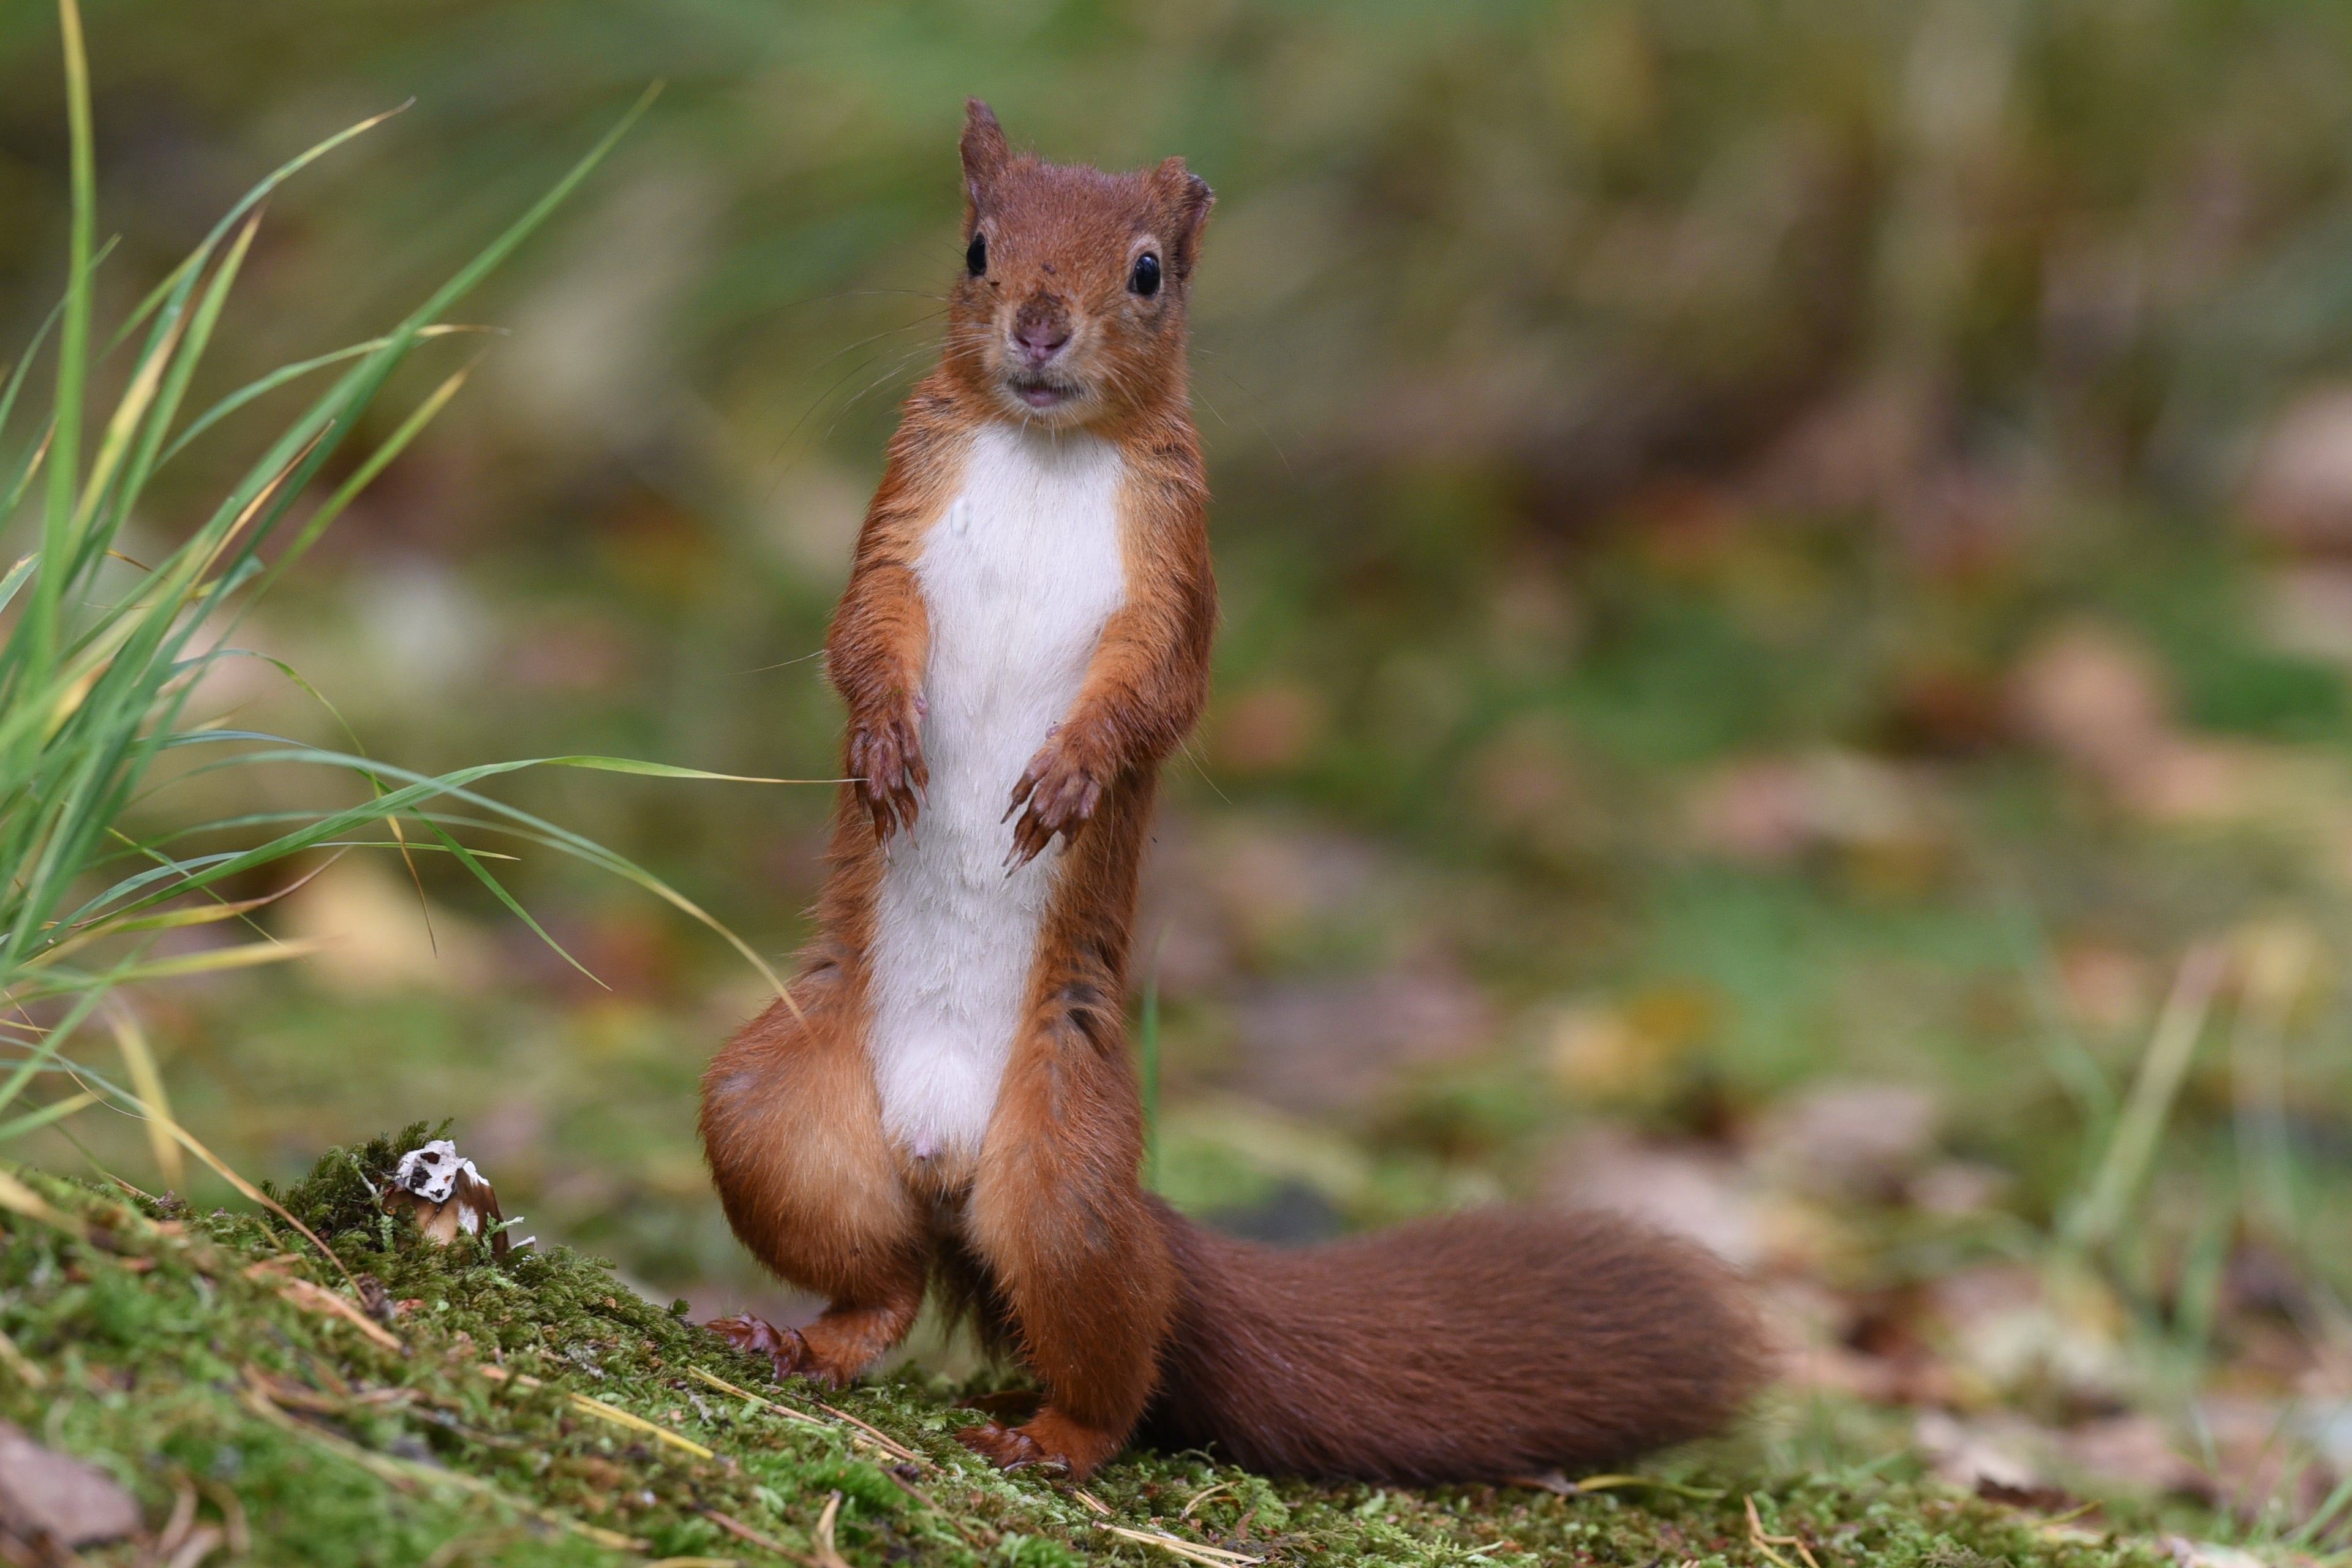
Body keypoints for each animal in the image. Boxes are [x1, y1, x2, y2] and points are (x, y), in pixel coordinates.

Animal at [699, 100, 1767, 1483]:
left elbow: (1159, 691)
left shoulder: (1180, 563)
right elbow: (861, 634)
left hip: (1066, 1183)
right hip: (772, 1119)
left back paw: (1056, 1432)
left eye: (1149, 271)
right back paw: (799, 1338)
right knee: (877, 1280)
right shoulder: (899, 510)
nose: (1040, 322)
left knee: (1119, 1349)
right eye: (979, 247)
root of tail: (940, 1158)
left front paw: (1073, 775)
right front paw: (884, 739)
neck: (1043, 454)